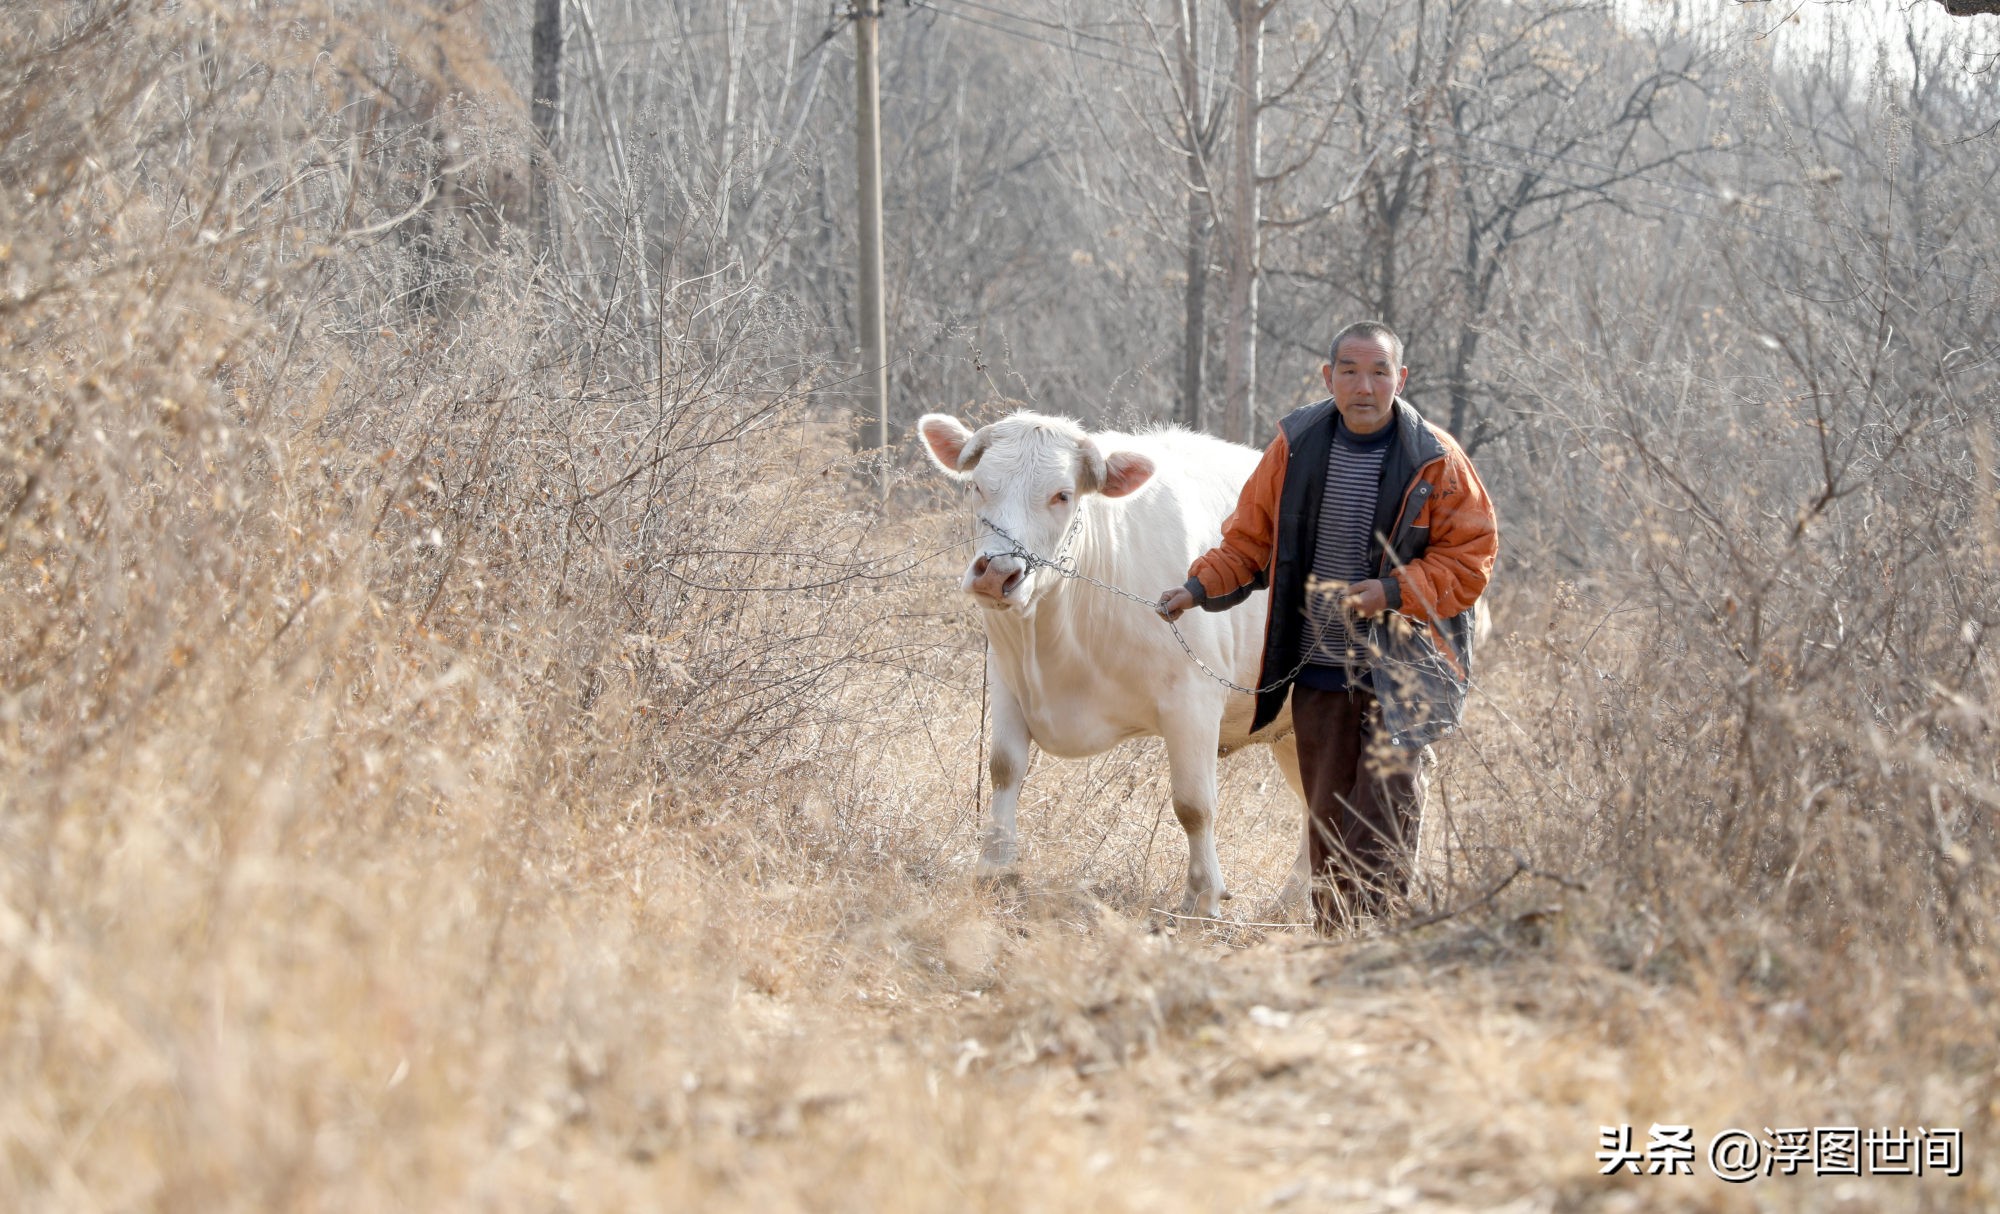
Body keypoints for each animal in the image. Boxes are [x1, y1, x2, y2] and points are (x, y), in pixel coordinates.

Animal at [916, 408, 1304, 912]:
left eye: (1062, 495)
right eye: (977, 486)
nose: (997, 574)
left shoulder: (1194, 700)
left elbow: (1194, 805)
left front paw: (1202, 898)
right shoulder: (1005, 678)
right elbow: (1004, 768)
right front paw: (995, 867)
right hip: (1291, 730)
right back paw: (1294, 900)